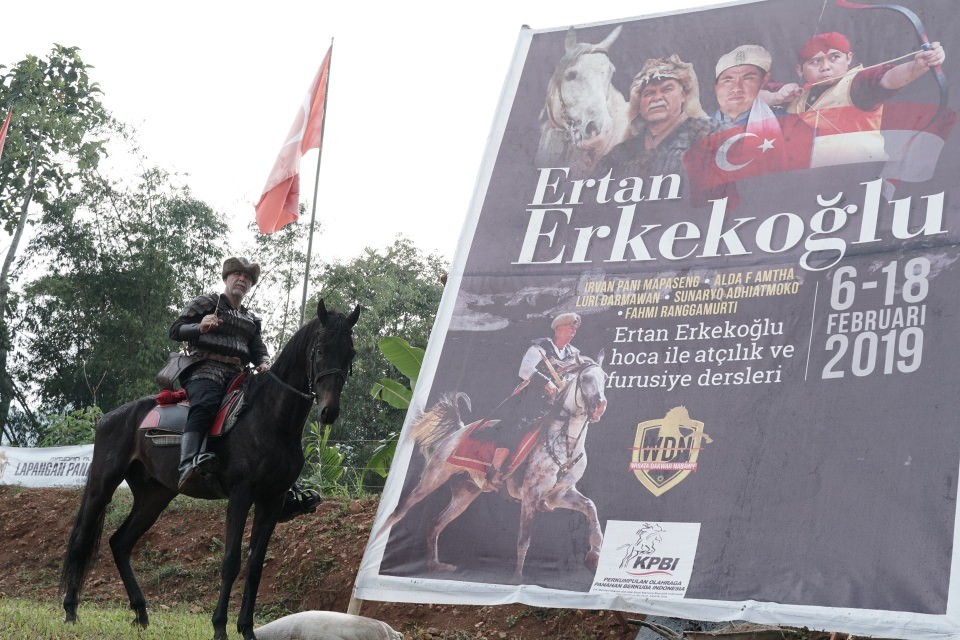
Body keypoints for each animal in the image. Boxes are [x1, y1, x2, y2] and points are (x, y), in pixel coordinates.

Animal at [61, 300, 360, 640]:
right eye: (320, 350)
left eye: (350, 353)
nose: (329, 411)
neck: (271, 419)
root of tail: (110, 417)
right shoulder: (241, 496)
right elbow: (231, 561)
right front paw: (219, 626)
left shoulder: (271, 501)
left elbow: (255, 566)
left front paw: (247, 629)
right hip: (102, 485)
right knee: (82, 539)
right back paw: (71, 610)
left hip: (155, 496)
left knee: (120, 543)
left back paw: (140, 612)